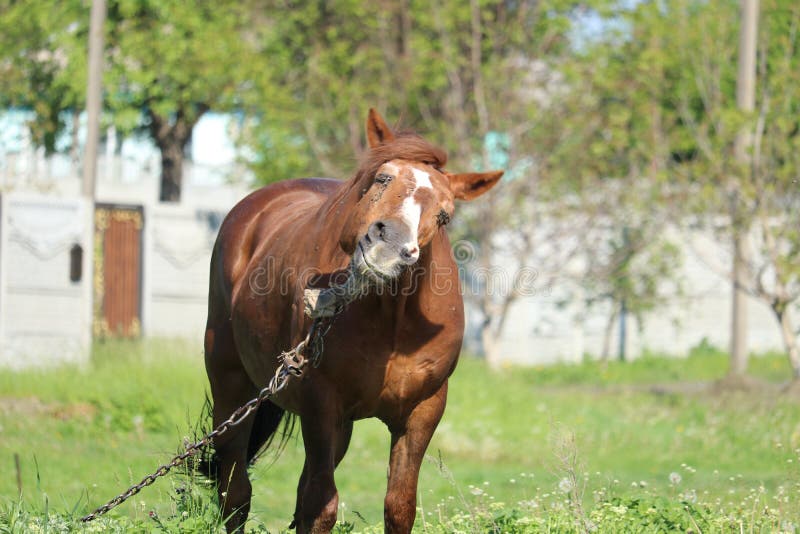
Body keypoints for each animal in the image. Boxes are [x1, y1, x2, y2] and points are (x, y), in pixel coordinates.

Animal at [205, 108, 500, 532]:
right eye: (383, 178)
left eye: (445, 214)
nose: (390, 247)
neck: (393, 323)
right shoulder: (321, 403)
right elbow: (322, 505)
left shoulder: (422, 411)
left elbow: (398, 506)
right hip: (230, 385)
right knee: (236, 493)